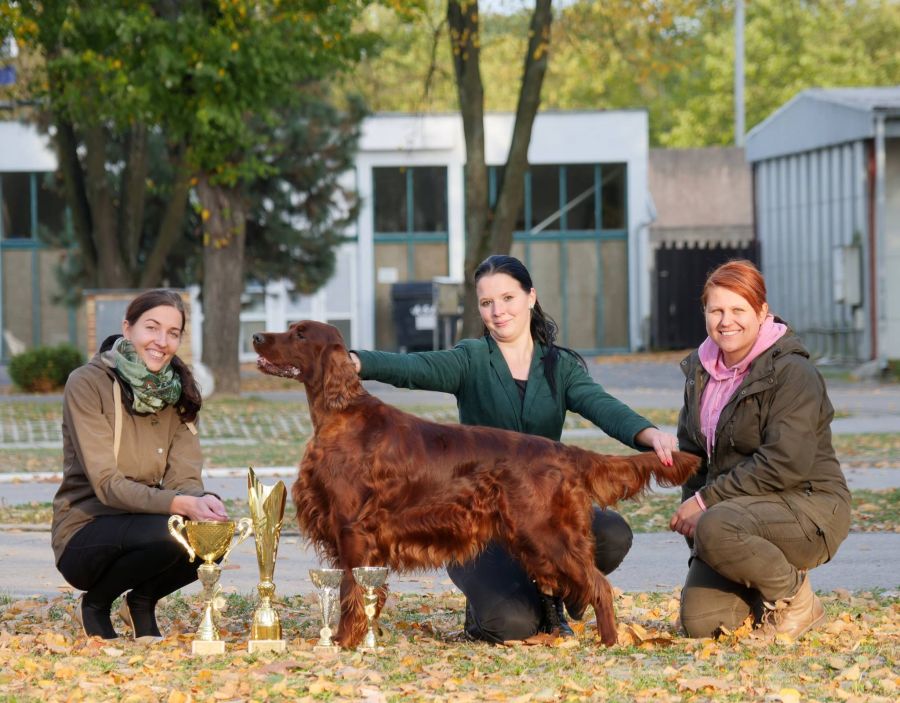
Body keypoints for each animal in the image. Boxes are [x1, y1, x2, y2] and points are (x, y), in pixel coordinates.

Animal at [251, 322, 696, 648]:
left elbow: (351, 593)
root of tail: (561, 450)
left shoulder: (353, 531)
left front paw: (344, 642)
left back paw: (609, 642)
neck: (340, 415)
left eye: (300, 334)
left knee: (600, 585)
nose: (255, 336)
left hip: (547, 532)